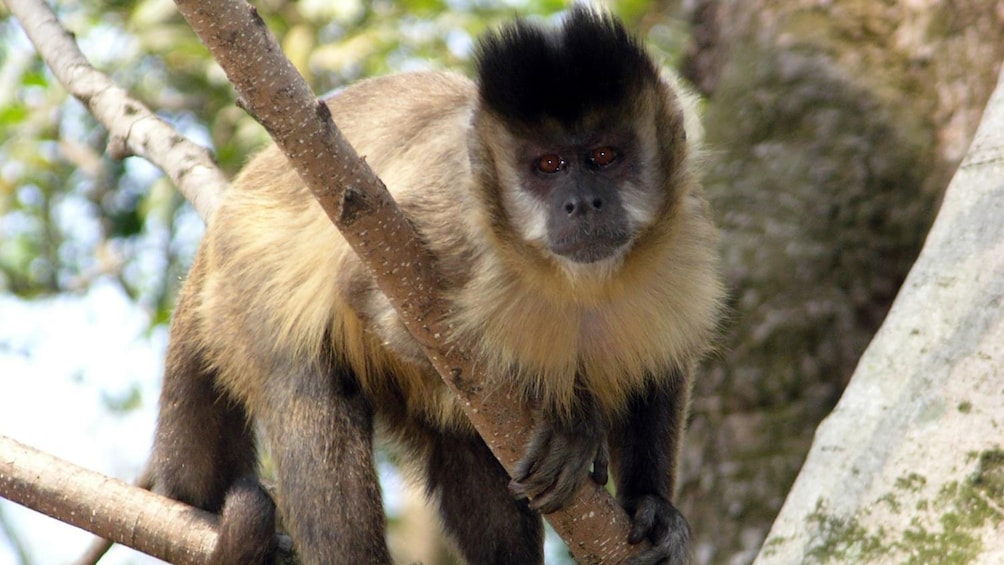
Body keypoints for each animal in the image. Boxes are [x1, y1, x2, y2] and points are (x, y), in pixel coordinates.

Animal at [150, 5, 722, 565]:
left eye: (605, 156)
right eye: (549, 165)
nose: (581, 203)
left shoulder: (688, 225)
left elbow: (662, 368)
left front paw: (652, 504)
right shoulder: (455, 213)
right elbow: (370, 291)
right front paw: (570, 421)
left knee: (463, 441)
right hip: (242, 295)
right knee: (311, 397)